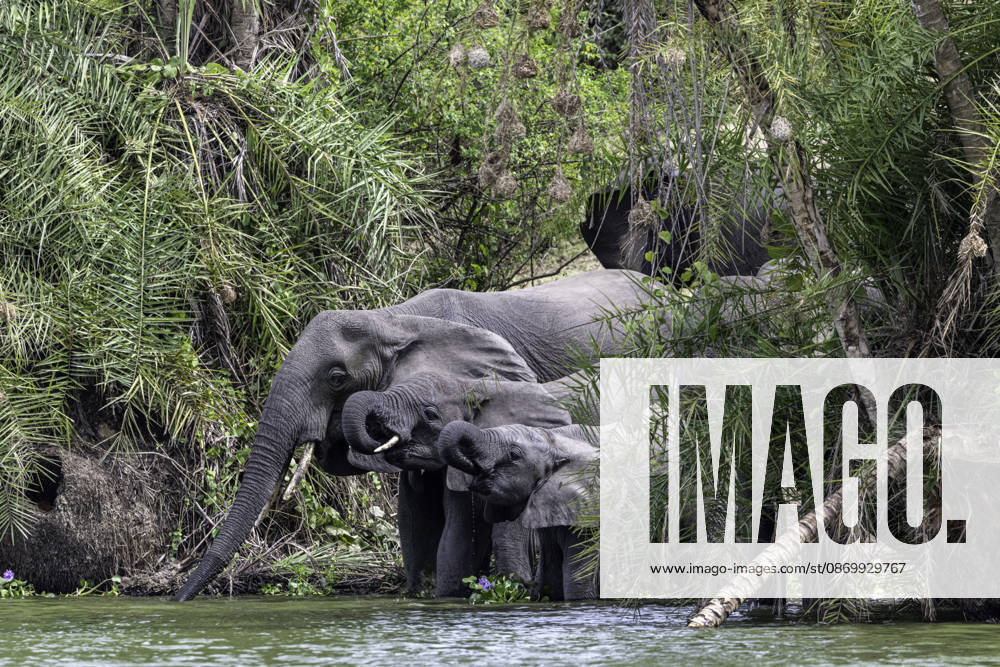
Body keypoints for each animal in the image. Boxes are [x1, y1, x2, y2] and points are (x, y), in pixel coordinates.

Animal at [437, 421, 599, 600]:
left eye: (514, 455)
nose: (478, 467)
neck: (559, 443)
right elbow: (547, 583)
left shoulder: (586, 518)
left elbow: (578, 587)